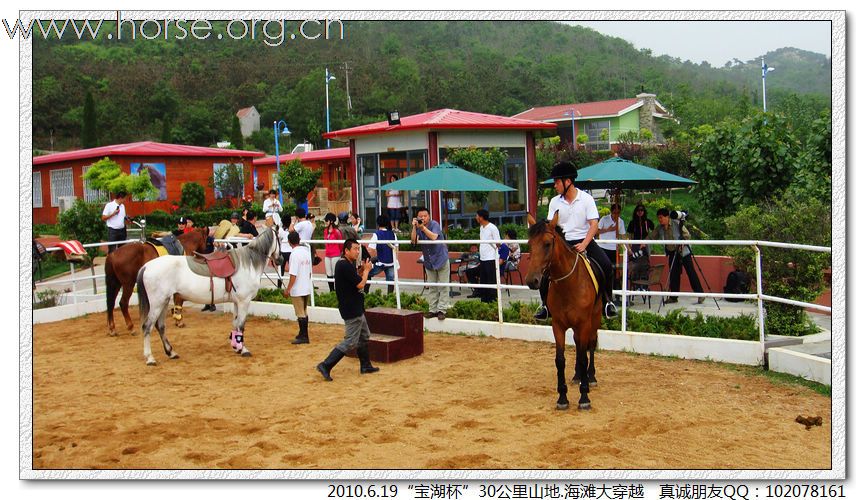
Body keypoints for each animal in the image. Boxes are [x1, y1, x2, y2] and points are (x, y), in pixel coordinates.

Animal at [136, 229, 284, 366]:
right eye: (280, 238)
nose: (281, 260)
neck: (247, 264)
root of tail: (146, 266)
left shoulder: (237, 303)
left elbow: (235, 324)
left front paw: (236, 347)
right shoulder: (244, 302)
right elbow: (241, 326)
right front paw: (243, 350)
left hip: (164, 302)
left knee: (160, 326)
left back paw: (171, 352)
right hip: (157, 303)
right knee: (147, 326)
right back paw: (150, 358)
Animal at [528, 211, 600, 410]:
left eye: (547, 244)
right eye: (529, 244)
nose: (532, 281)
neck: (568, 285)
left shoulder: (584, 323)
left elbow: (583, 357)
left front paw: (584, 397)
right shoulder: (558, 325)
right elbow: (560, 360)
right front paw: (562, 398)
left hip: (595, 318)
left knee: (591, 344)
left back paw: (590, 377)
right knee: (577, 343)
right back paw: (577, 376)